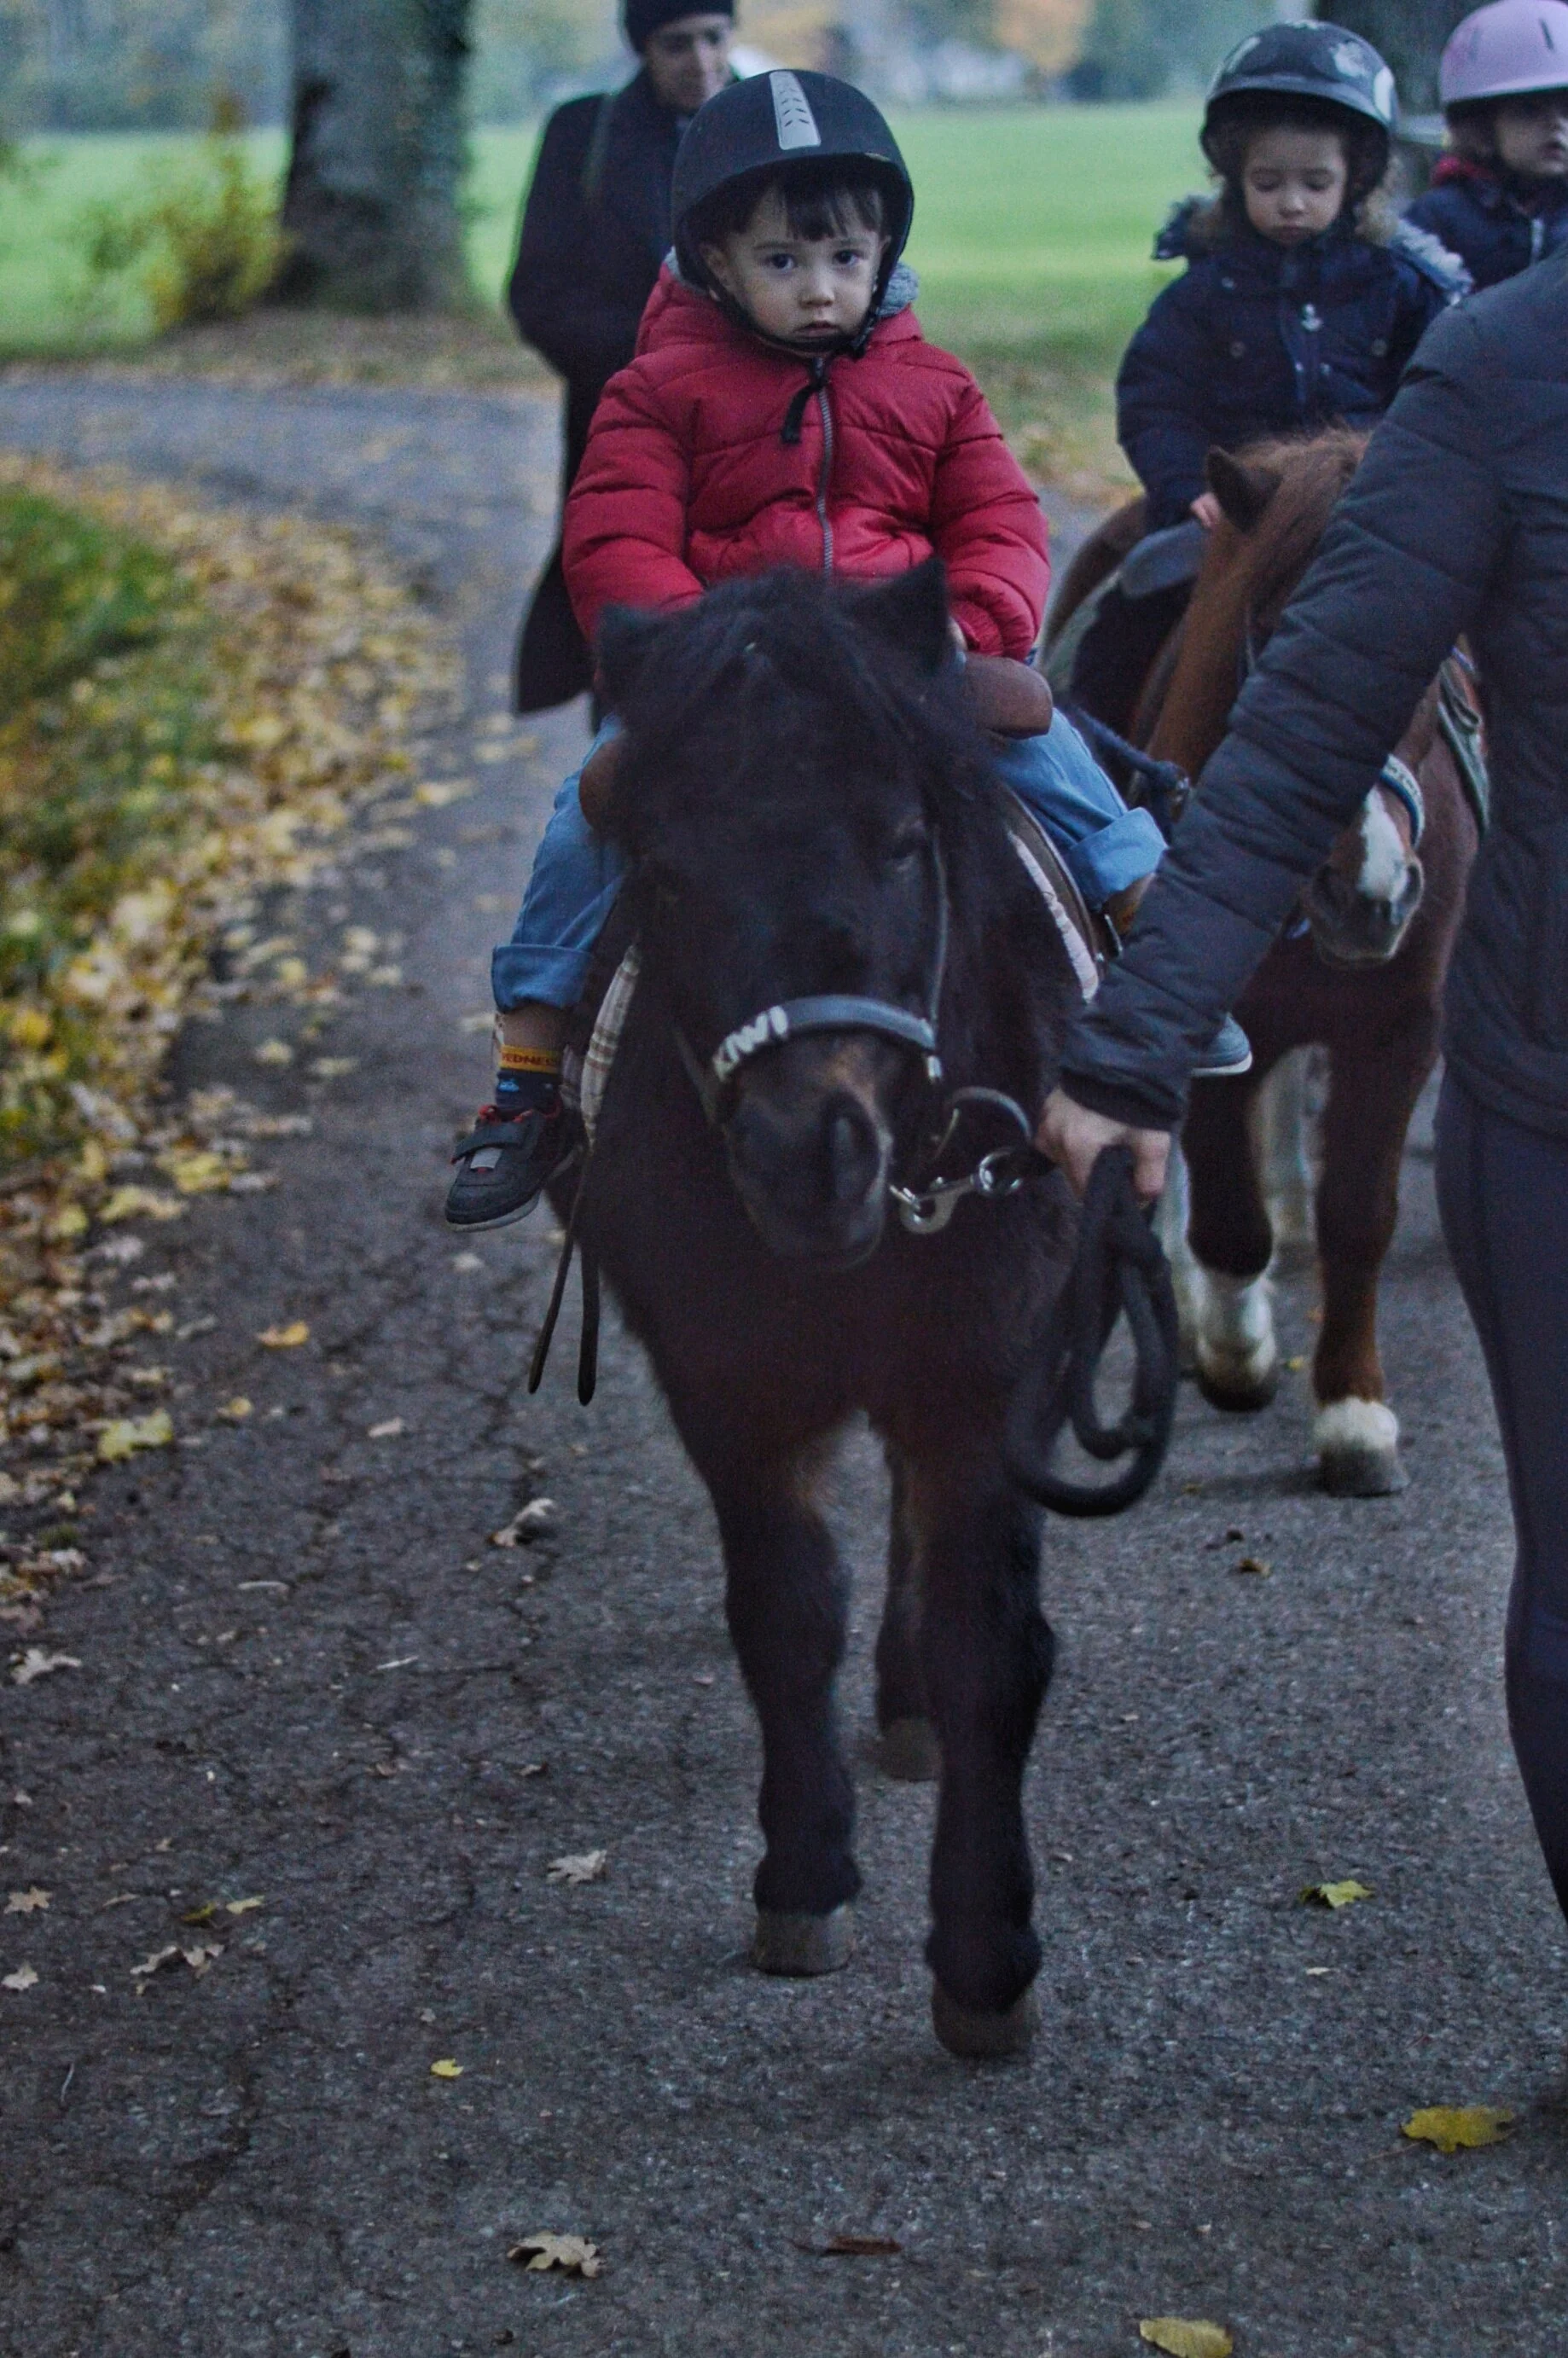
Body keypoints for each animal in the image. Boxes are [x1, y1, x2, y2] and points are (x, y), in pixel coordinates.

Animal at [562, 559, 1091, 2058]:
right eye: (662, 871)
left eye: (904, 840)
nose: (811, 1153)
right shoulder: (729, 1383)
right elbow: (787, 1615)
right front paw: (803, 1875)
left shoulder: (987, 1377)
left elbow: (990, 1649)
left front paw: (985, 1956)